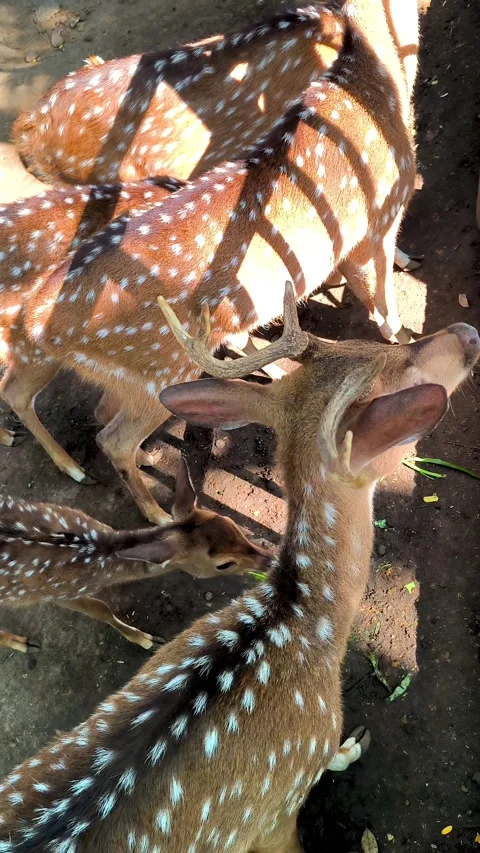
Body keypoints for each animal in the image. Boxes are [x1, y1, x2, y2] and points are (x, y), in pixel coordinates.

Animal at [0, 456, 272, 654]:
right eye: (223, 564)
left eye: (232, 524)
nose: (268, 560)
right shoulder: (56, 593)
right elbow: (100, 609)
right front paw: (147, 640)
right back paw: (22, 643)